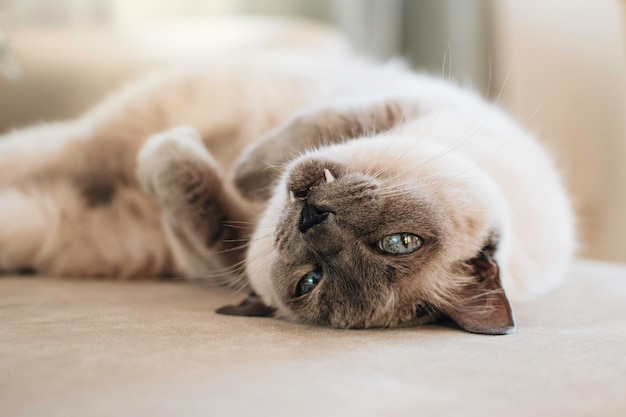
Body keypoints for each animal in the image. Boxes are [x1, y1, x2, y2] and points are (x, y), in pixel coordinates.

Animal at [0, 50, 572, 334]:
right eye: (402, 242)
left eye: (309, 281)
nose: (311, 218)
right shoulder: (401, 107)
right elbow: (303, 134)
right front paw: (245, 166)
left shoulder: (213, 255)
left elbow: (194, 191)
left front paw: (179, 152)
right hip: (80, 142)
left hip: (46, 210)